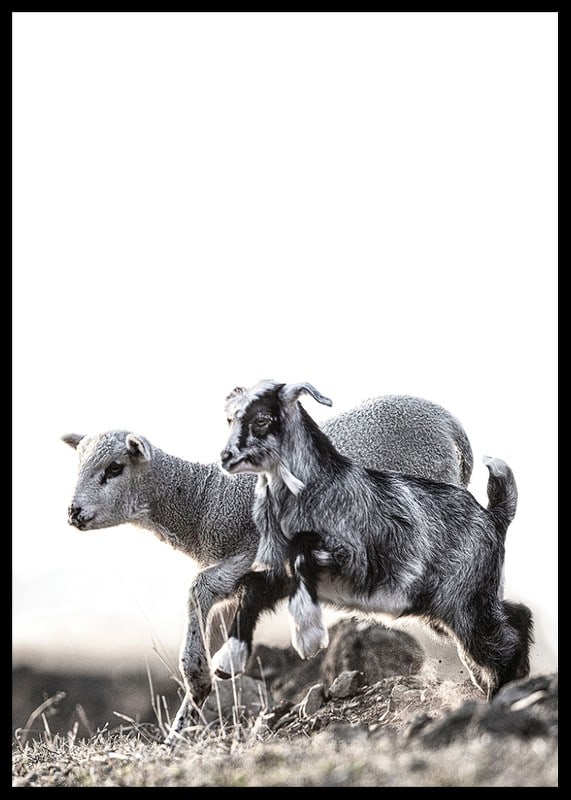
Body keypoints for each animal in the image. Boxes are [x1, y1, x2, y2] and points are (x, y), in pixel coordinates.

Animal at [62, 393, 474, 743]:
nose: (74, 513)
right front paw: (182, 726)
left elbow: (199, 590)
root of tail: (450, 422)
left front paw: (197, 688)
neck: (202, 500)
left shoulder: (249, 552)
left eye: (114, 468)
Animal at [214, 380, 533, 701]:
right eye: (229, 418)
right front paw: (228, 662)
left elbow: (301, 556)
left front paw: (308, 637)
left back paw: (501, 693)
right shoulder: (276, 571)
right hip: (453, 605)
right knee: (514, 616)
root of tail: (494, 515)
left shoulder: (353, 559)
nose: (225, 458)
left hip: (465, 602)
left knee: (500, 640)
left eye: (261, 419)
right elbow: (253, 589)